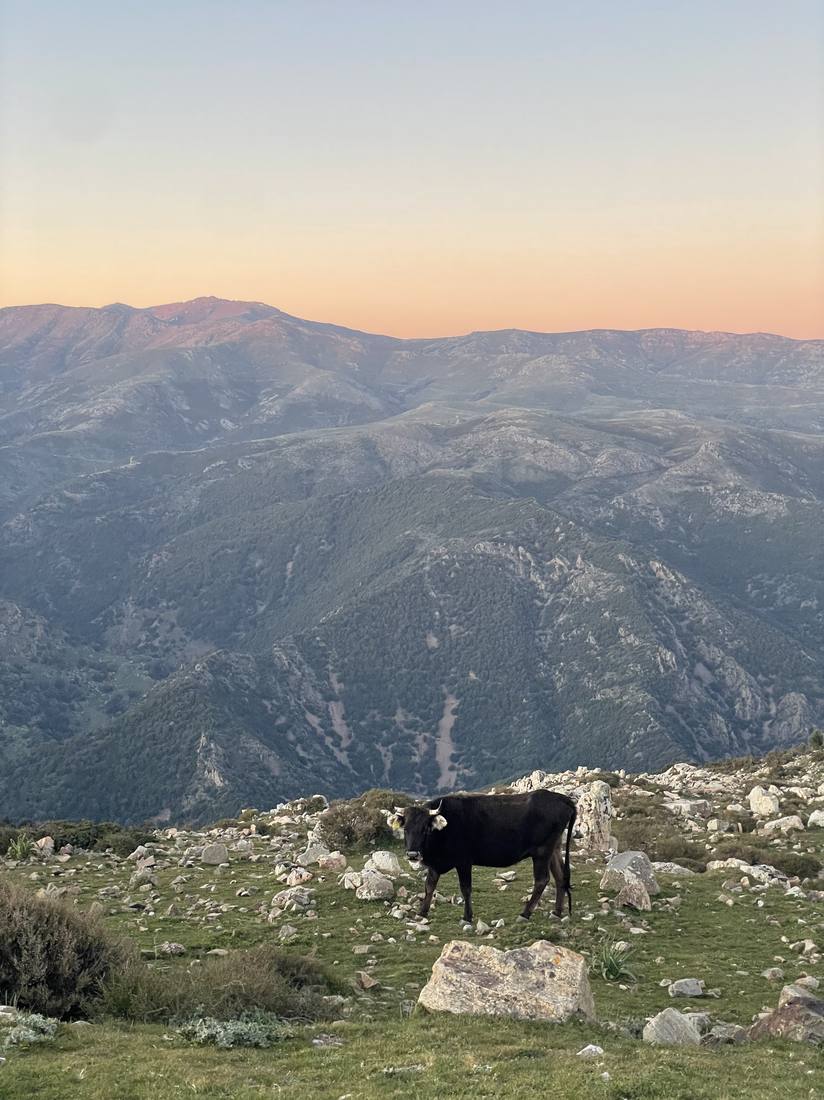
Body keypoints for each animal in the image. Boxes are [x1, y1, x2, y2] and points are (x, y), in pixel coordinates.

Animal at [387, 789, 576, 924]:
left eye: (425, 829)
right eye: (405, 828)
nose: (413, 854)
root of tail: (561, 798)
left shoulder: (463, 861)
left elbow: (465, 888)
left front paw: (467, 917)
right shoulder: (435, 866)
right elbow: (429, 886)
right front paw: (422, 912)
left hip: (541, 852)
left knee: (542, 880)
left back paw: (525, 914)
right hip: (554, 848)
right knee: (560, 876)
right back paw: (557, 912)